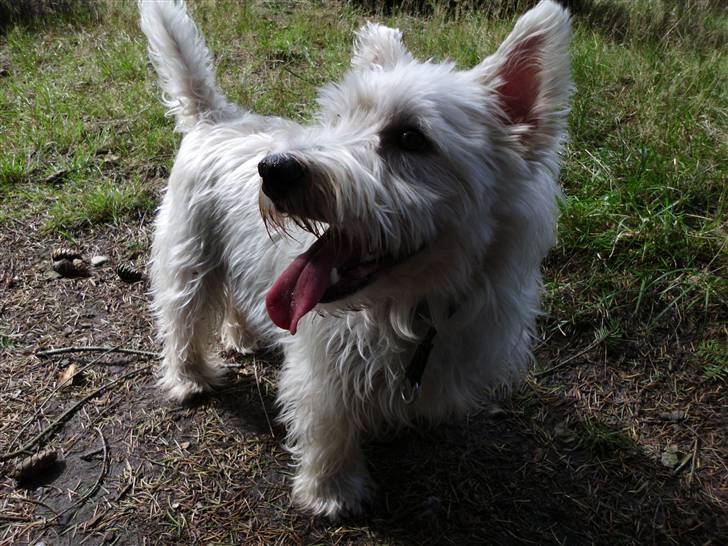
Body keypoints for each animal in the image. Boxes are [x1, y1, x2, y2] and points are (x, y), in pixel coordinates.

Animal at [141, 0, 576, 516]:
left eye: (411, 138)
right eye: (338, 118)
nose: (274, 169)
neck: (414, 308)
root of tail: (216, 117)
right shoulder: (323, 365)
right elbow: (328, 427)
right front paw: (331, 492)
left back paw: (241, 336)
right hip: (190, 254)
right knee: (182, 317)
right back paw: (189, 377)